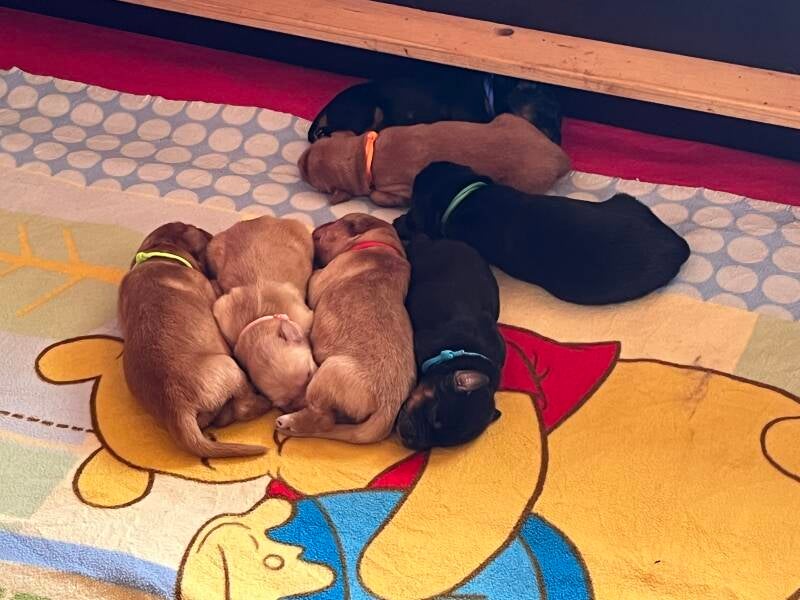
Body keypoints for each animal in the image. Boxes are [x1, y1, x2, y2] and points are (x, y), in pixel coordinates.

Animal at [207, 216, 316, 416]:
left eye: (309, 376)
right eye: (284, 404)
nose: (307, 405)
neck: (260, 320)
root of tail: (253, 220)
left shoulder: (304, 316)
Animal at [275, 213, 416, 443]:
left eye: (330, 227)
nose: (314, 231)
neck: (380, 244)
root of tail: (389, 407)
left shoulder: (319, 280)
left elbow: (314, 276)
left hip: (326, 374)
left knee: (322, 420)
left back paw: (288, 421)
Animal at [298, 113, 570, 206]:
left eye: (315, 182)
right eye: (315, 147)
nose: (299, 163)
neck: (365, 156)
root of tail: (559, 156)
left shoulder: (397, 188)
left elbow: (376, 196)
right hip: (509, 118)